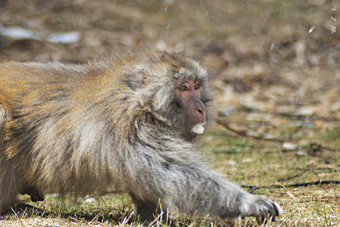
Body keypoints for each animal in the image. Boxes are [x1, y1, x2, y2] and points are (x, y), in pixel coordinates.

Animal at [0, 51, 282, 223]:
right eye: (183, 88)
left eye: (197, 86)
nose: (202, 108)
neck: (140, 101)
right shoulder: (133, 130)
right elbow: (173, 171)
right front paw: (250, 202)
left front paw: (153, 216)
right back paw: (10, 208)